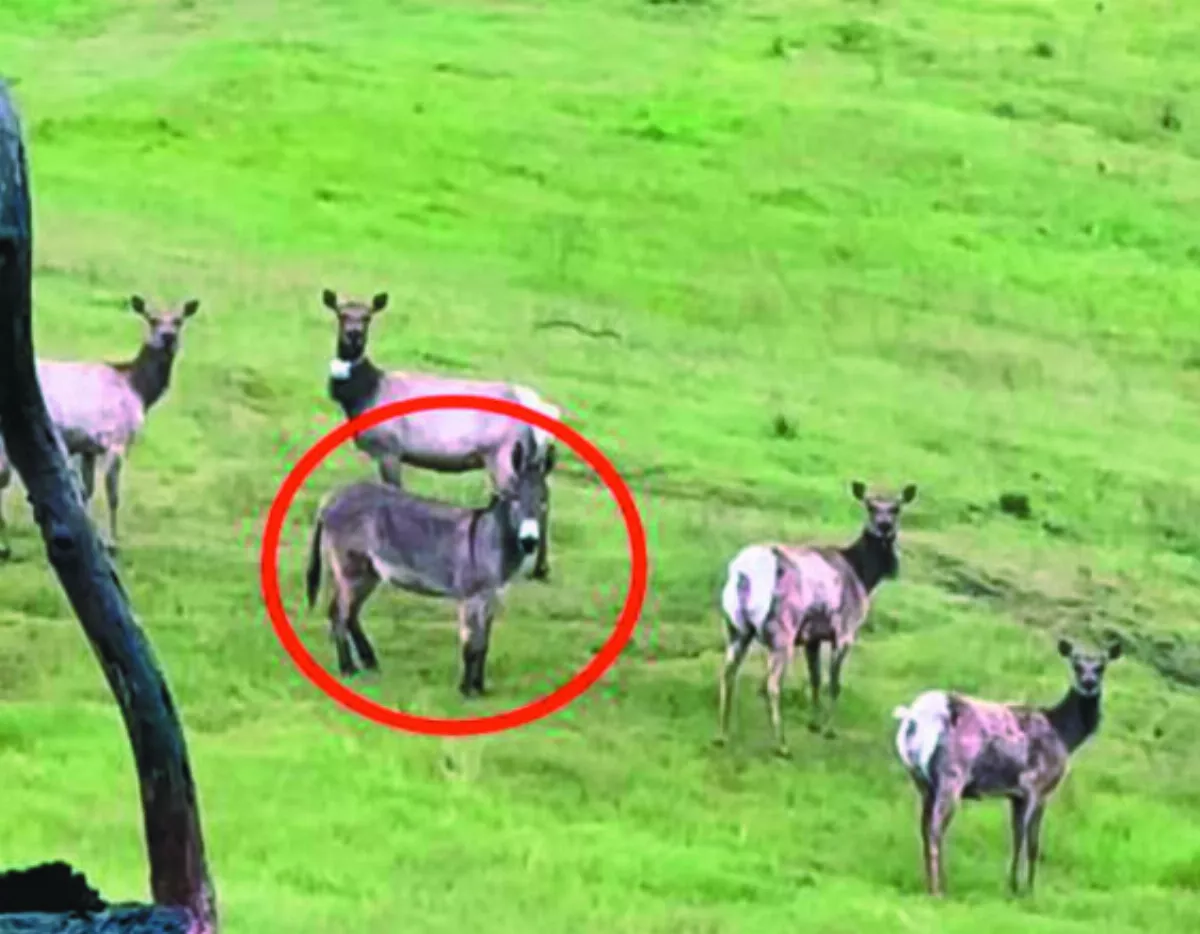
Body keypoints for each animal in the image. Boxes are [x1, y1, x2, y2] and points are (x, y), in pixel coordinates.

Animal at [0, 294, 201, 556]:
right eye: (152, 319)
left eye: (178, 320)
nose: (168, 337)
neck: (138, 390)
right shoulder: (116, 439)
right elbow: (112, 494)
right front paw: (111, 543)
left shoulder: (88, 446)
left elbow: (87, 491)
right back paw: (5, 546)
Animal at [304, 428, 554, 695]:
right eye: (514, 497)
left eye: (543, 500)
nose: (529, 541)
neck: (488, 538)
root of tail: (331, 499)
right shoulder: (471, 598)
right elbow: (471, 644)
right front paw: (466, 691)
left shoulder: (490, 597)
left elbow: (483, 644)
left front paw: (479, 688)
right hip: (351, 569)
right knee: (339, 614)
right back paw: (348, 669)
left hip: (368, 572)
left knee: (349, 613)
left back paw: (369, 663)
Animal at [321, 288, 561, 581]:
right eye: (342, 314)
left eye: (367, 317)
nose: (354, 335)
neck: (364, 395)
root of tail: (544, 410)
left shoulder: (390, 448)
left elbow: (395, 489)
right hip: (530, 457)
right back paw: (541, 567)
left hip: (503, 453)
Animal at [714, 481, 918, 756]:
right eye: (870, 506)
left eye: (896, 508)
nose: (884, 526)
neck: (865, 576)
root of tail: (743, 573)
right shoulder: (844, 630)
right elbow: (834, 683)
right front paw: (829, 730)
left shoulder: (813, 637)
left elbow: (815, 679)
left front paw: (814, 723)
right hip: (782, 631)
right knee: (771, 685)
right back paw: (781, 744)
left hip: (736, 628)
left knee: (727, 674)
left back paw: (722, 735)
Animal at [892, 638, 1123, 898]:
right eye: (1076, 664)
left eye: (1101, 665)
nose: (1089, 683)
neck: (1064, 736)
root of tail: (915, 717)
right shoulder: (1036, 786)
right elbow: (1030, 842)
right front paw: (1026, 890)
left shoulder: (1016, 794)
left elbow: (1016, 837)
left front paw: (1014, 885)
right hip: (952, 773)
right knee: (935, 829)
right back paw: (937, 890)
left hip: (921, 780)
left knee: (924, 828)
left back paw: (935, 883)